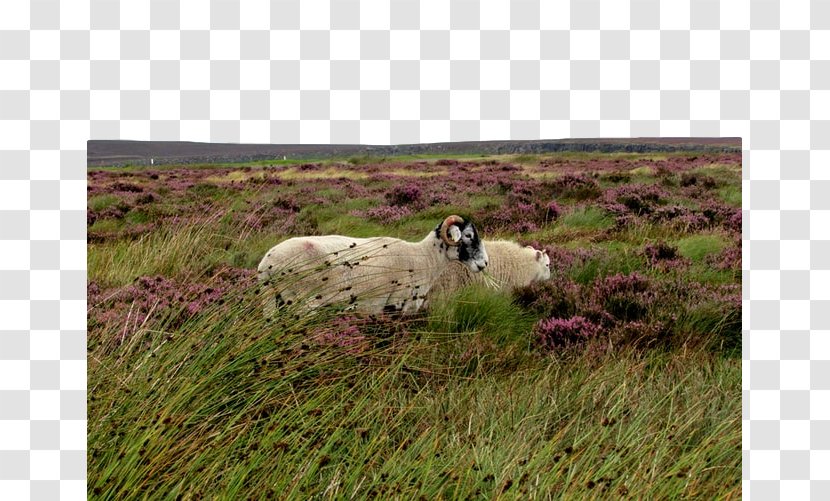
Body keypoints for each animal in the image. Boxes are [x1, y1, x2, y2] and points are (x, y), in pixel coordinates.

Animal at [256, 215, 490, 316]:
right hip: (302, 302)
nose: (485, 263)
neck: (423, 258)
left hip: (272, 302)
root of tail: (267, 265)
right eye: (468, 236)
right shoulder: (397, 305)